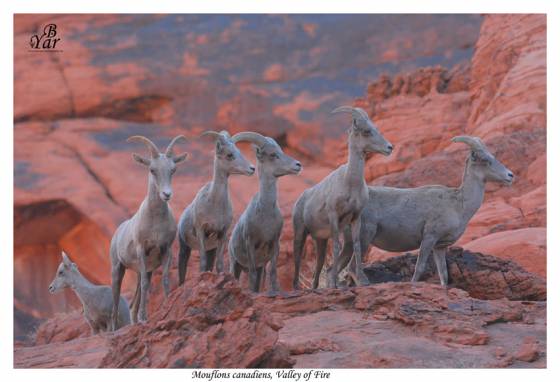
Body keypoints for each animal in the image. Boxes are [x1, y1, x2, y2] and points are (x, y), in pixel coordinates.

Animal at [109, 134, 188, 328]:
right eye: (152, 170)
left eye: (173, 170)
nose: (167, 194)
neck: (155, 222)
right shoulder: (142, 250)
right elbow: (146, 285)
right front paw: (144, 318)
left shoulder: (166, 250)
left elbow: (166, 280)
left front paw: (166, 307)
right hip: (117, 269)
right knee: (115, 302)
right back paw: (114, 329)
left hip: (140, 270)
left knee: (132, 304)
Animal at [177, 131, 256, 284]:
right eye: (229, 155)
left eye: (239, 151)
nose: (252, 168)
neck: (214, 205)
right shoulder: (201, 231)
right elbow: (202, 264)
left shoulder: (222, 233)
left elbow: (219, 265)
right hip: (185, 248)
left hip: (211, 250)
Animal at [228, 131, 302, 292]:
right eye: (273, 154)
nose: (298, 165)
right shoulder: (250, 244)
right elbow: (252, 275)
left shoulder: (274, 244)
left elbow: (273, 272)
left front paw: (275, 291)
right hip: (235, 264)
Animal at [294, 104, 394, 290]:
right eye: (366, 131)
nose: (389, 147)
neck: (350, 183)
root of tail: (301, 198)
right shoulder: (334, 216)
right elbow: (337, 247)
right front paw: (334, 284)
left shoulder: (356, 217)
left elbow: (356, 245)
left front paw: (362, 281)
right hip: (300, 232)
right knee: (297, 257)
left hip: (320, 240)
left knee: (319, 264)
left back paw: (314, 288)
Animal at [334, 134, 516, 286]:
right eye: (485, 159)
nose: (510, 175)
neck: (459, 205)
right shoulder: (429, 238)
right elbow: (419, 268)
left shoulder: (439, 247)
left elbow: (443, 275)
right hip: (364, 237)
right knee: (352, 268)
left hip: (350, 244)